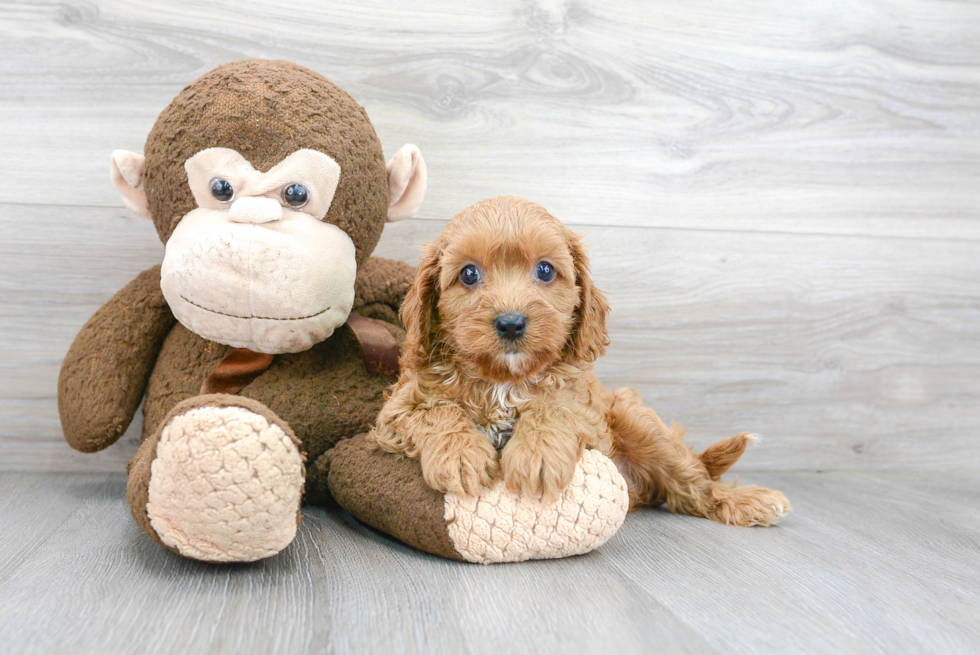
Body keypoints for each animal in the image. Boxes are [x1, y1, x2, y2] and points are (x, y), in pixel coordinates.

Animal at [368, 195, 788, 528]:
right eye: (468, 274)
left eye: (545, 270)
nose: (511, 323)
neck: (504, 379)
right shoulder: (397, 409)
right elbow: (436, 411)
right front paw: (460, 454)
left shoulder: (586, 407)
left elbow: (555, 408)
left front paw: (537, 455)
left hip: (635, 420)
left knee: (691, 481)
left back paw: (745, 501)